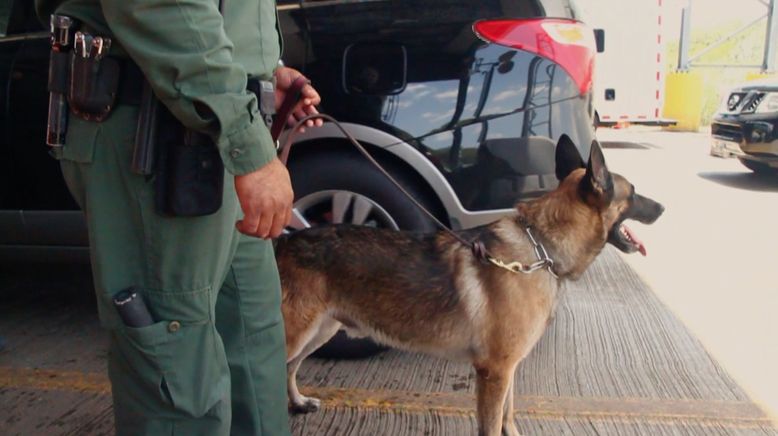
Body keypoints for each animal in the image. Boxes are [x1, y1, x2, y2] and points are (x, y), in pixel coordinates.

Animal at [274, 141, 660, 434]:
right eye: (634, 193)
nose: (663, 207)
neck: (539, 248)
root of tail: (285, 239)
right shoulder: (494, 373)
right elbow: (491, 426)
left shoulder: (507, 371)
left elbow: (508, 418)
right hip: (299, 332)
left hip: (321, 330)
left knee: (289, 368)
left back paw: (297, 402)